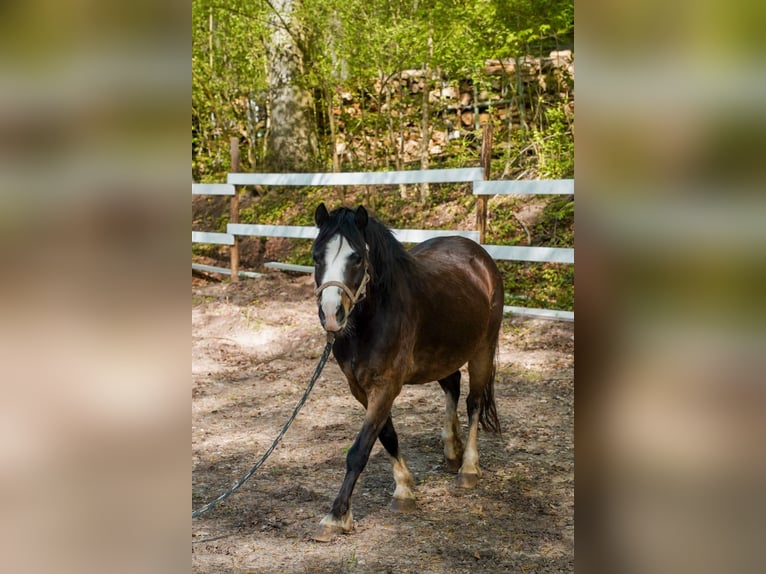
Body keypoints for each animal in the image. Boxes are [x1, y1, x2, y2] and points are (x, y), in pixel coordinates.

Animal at [310, 205, 504, 544]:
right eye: (317, 256)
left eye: (356, 257)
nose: (332, 314)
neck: (372, 318)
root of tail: (480, 256)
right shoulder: (359, 388)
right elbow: (386, 435)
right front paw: (404, 489)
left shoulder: (386, 386)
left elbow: (359, 449)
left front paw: (336, 516)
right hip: (442, 355)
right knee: (453, 386)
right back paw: (451, 452)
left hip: (483, 349)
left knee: (475, 402)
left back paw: (468, 468)